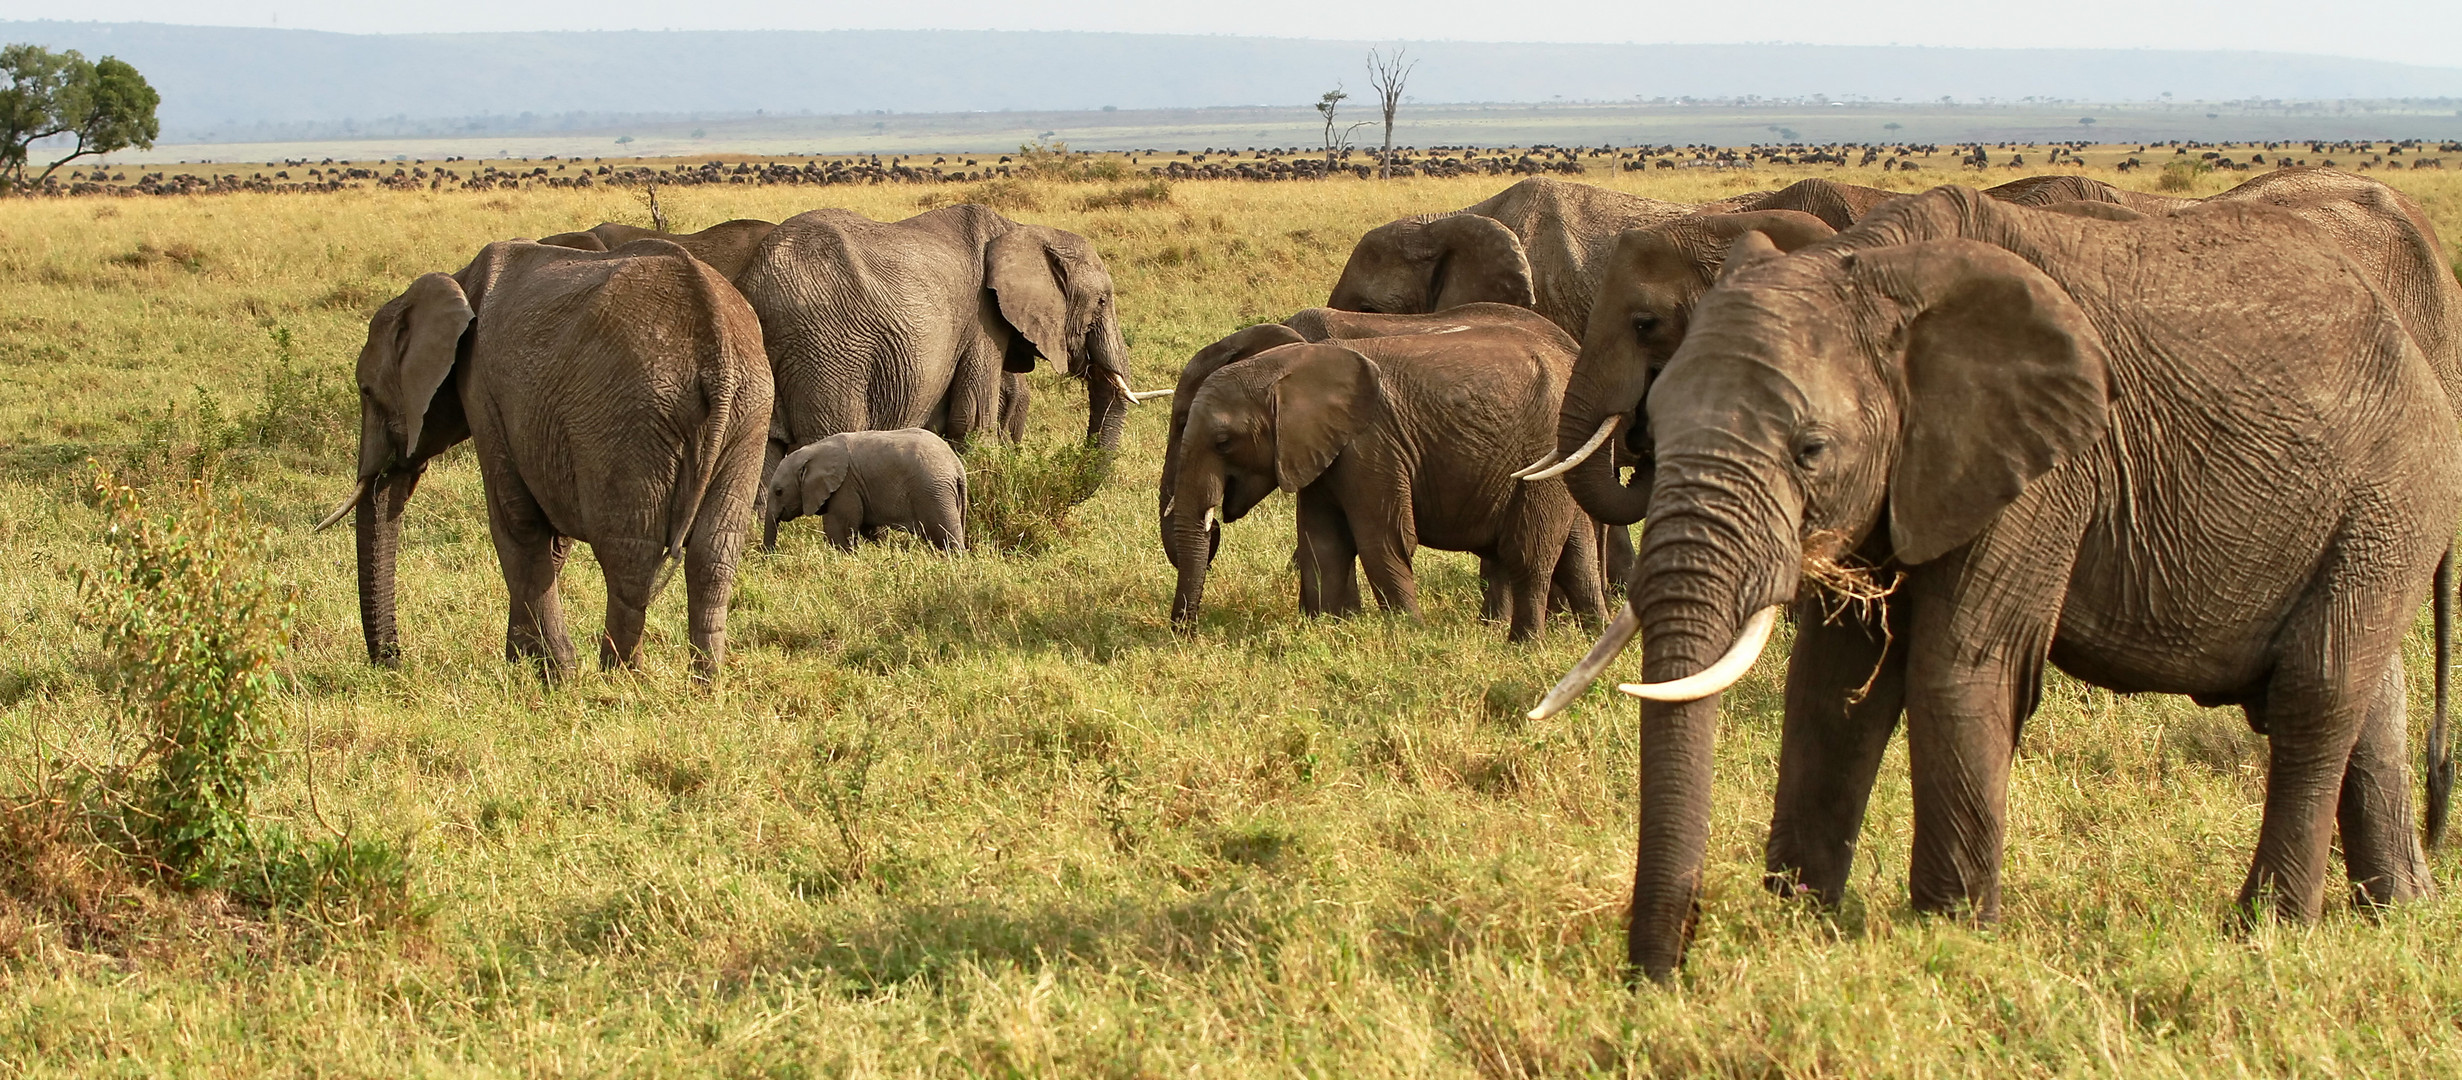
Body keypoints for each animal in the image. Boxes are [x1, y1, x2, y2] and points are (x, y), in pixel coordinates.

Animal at [312, 239, 768, 678]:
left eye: (366, 390)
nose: (391, 662)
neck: (456, 281)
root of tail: (717, 355)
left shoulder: (482, 386)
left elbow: (516, 519)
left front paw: (553, 672)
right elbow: (551, 535)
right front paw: (526, 661)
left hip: (629, 416)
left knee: (628, 553)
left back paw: (619, 680)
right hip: (748, 414)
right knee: (714, 553)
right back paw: (705, 683)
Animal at [763, 428, 965, 553]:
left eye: (779, 491)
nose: (769, 556)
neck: (812, 451)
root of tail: (956, 466)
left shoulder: (846, 486)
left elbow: (839, 530)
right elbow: (870, 530)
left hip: (933, 492)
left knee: (946, 535)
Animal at [1162, 308, 1605, 644]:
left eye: (1222, 442)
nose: (1186, 633)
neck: (1290, 363)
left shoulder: (1372, 444)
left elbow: (1383, 540)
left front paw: (1409, 635)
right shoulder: (1323, 451)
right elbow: (1323, 544)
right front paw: (1332, 631)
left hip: (1542, 454)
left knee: (1528, 554)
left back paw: (1522, 645)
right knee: (1576, 552)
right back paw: (1590, 635)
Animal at [1536, 184, 2462, 979]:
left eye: (1810, 450)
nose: (1660, 971)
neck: (1871, 268)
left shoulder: (2043, 466)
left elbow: (1960, 669)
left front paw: (1948, 939)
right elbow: (1833, 684)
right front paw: (1799, 921)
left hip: (2393, 490)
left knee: (2317, 693)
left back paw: (2267, 928)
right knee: (2366, 694)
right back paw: (2397, 910)